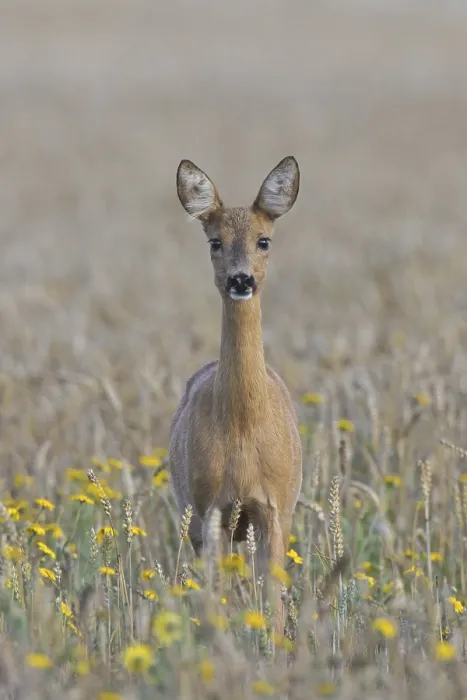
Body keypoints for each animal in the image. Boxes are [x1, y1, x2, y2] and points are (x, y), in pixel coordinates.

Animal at [169, 156, 303, 635]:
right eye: (215, 242)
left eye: (264, 240)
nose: (240, 279)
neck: (244, 428)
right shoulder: (211, 507)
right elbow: (217, 600)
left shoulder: (275, 507)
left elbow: (274, 603)